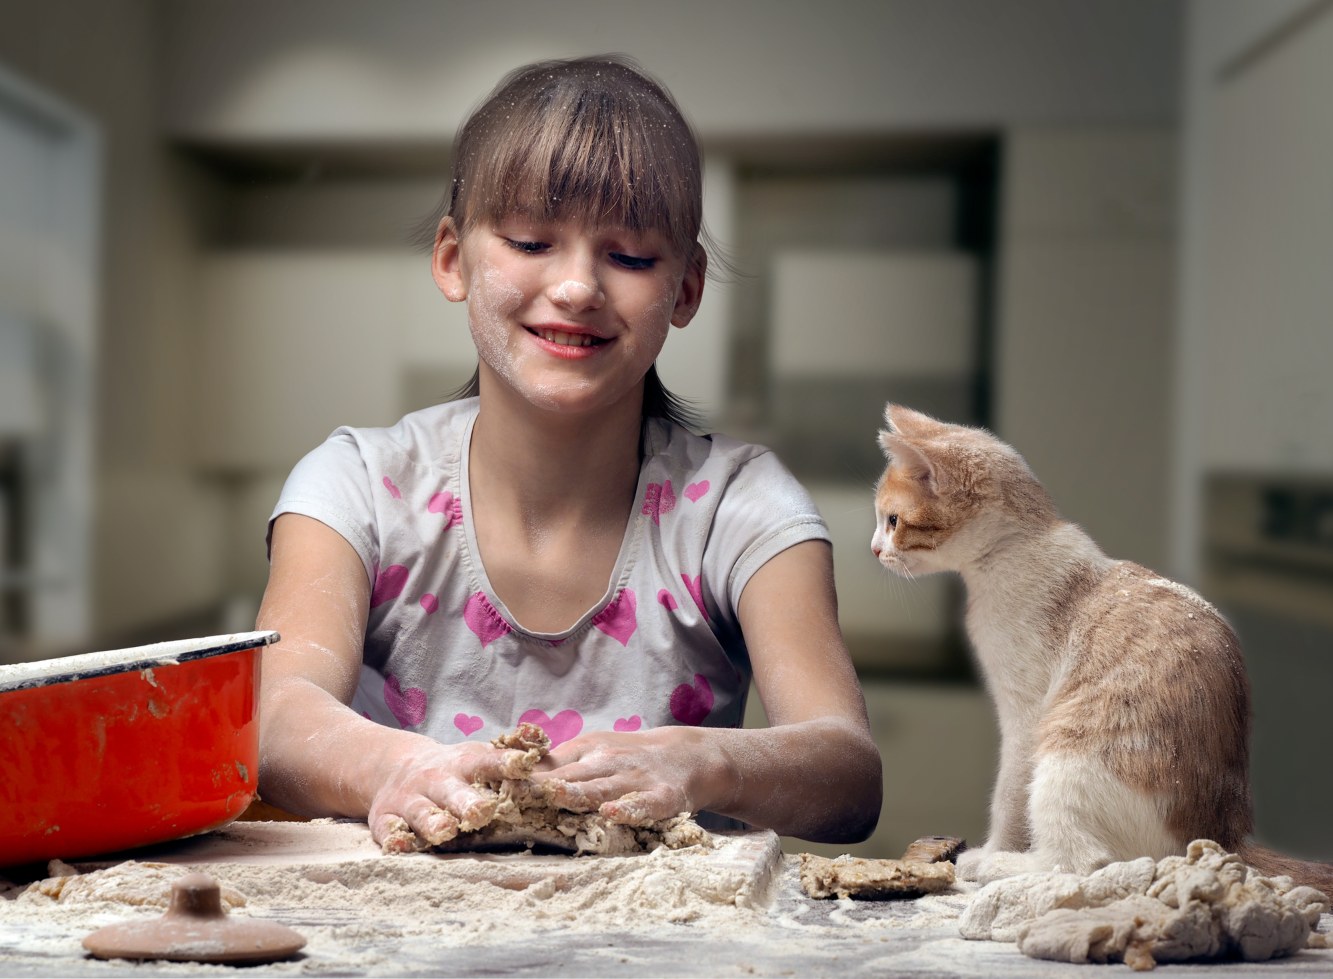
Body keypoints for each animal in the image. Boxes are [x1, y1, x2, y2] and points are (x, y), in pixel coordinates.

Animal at [874, 402, 1333, 890]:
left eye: (893, 521)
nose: (874, 549)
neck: (1013, 551)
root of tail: (1224, 837)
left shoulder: (1025, 714)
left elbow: (1008, 796)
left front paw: (997, 849)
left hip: (1065, 756)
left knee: (1078, 862)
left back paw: (1000, 866)